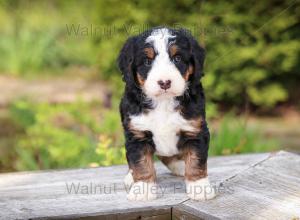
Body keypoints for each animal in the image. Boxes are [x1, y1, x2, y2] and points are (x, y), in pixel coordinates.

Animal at [118, 27, 216, 201]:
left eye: (177, 58)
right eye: (147, 61)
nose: (164, 82)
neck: (163, 102)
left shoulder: (195, 130)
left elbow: (196, 160)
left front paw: (200, 187)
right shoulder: (137, 134)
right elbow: (141, 163)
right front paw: (143, 189)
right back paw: (130, 177)